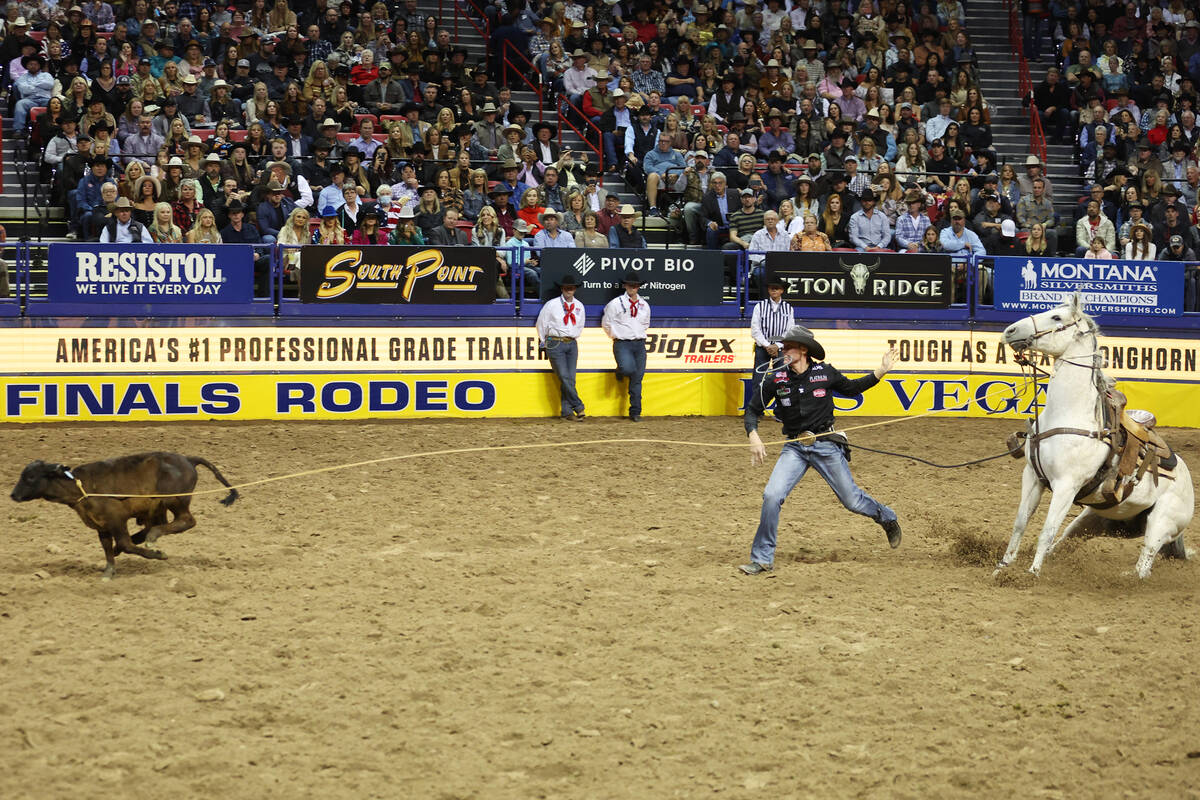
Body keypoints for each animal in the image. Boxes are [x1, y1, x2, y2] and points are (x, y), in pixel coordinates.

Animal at [993, 292, 1190, 575]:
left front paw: (1031, 574)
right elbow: (1020, 523)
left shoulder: (1066, 485)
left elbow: (1046, 531)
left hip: (1160, 523)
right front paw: (1002, 567)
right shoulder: (1032, 477)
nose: (1010, 331)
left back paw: (1127, 577)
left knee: (1144, 563)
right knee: (1063, 542)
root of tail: (1188, 481)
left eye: (1056, 317)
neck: (1068, 414)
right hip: (1095, 519)